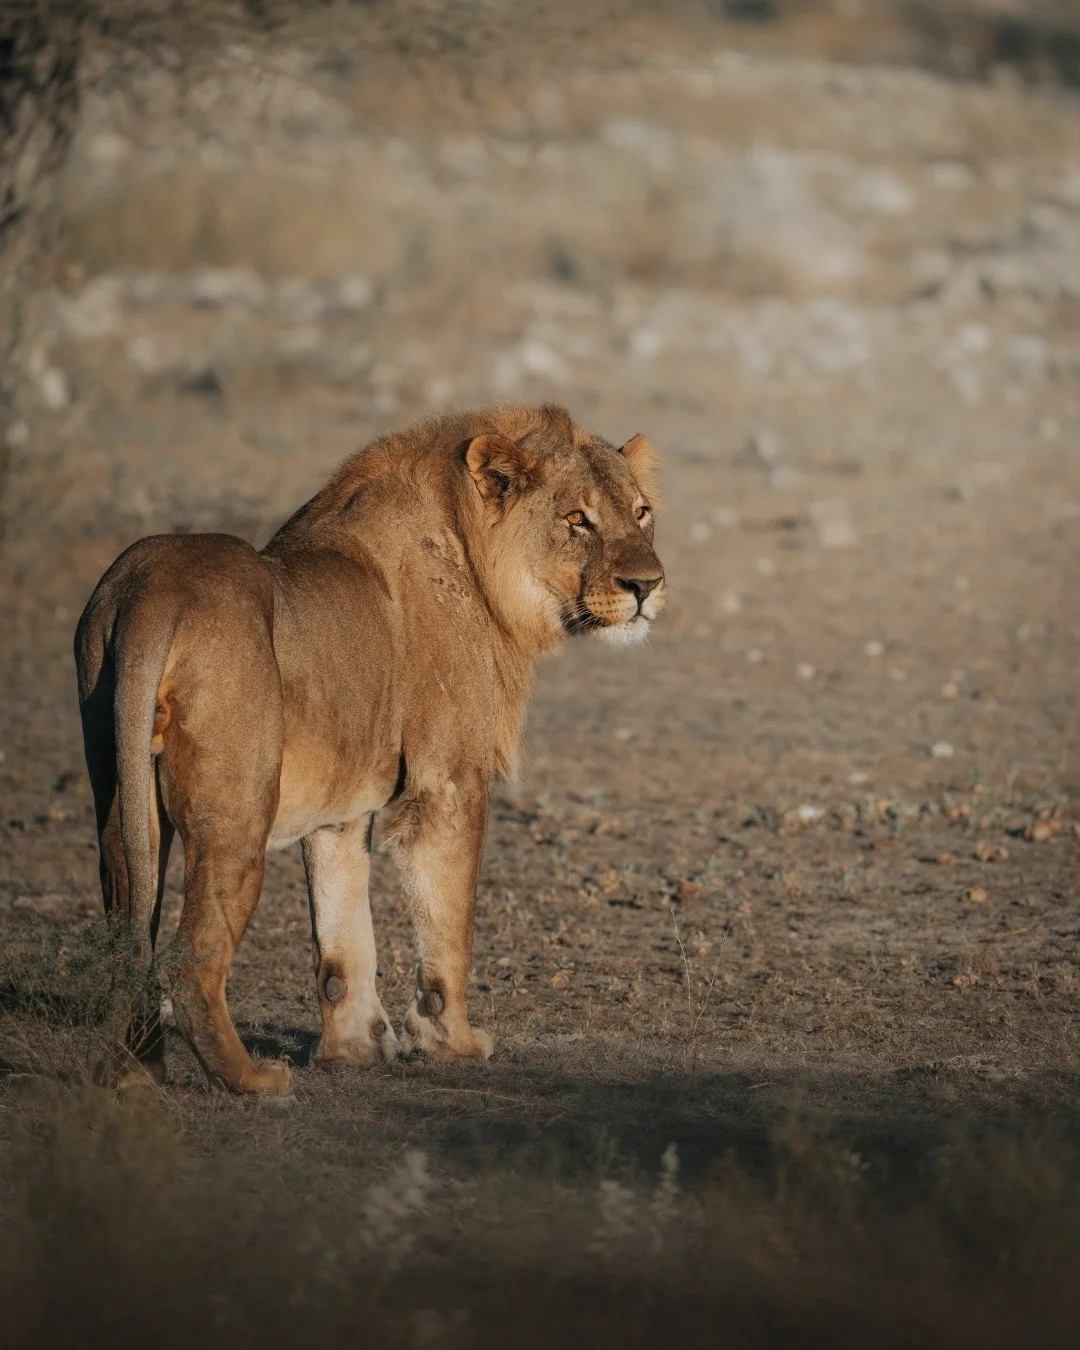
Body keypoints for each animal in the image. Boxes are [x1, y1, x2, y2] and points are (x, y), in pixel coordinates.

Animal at [75, 403, 664, 1093]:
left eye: (642, 511)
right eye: (577, 519)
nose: (648, 585)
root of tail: (152, 590)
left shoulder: (342, 806)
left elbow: (343, 933)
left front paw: (352, 1050)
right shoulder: (448, 780)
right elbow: (448, 925)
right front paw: (452, 1044)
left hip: (121, 797)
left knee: (129, 929)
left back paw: (136, 1075)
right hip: (238, 816)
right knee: (190, 962)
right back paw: (254, 1079)